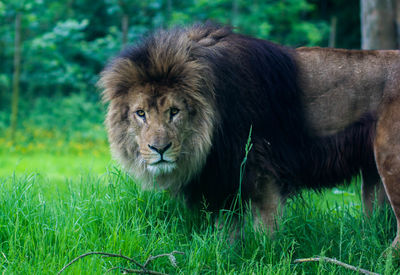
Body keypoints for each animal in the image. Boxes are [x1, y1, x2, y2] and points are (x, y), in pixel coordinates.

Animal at [99, 23, 400, 248]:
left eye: (174, 111)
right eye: (140, 113)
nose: (159, 149)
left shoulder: (261, 170)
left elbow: (266, 231)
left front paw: (267, 255)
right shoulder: (224, 180)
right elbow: (227, 236)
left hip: (390, 162)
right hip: (372, 173)